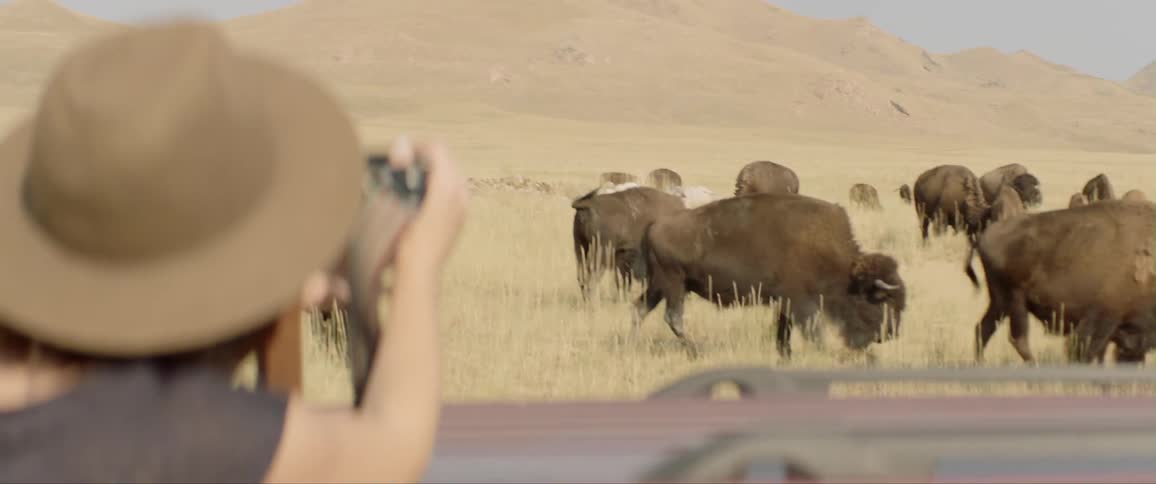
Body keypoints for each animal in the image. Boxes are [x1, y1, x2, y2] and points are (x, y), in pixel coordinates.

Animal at [633, 193, 906, 359]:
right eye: (882, 300)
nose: (890, 334)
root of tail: (653, 227)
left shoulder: (785, 302)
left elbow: (784, 329)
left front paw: (785, 354)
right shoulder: (800, 301)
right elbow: (811, 330)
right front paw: (819, 352)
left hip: (661, 285)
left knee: (640, 308)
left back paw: (632, 342)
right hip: (674, 284)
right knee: (673, 317)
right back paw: (695, 351)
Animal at [964, 200, 1156, 364]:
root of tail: (984, 236)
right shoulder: (1103, 318)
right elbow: (1084, 352)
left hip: (999, 303)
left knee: (983, 329)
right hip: (1014, 299)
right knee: (1018, 339)